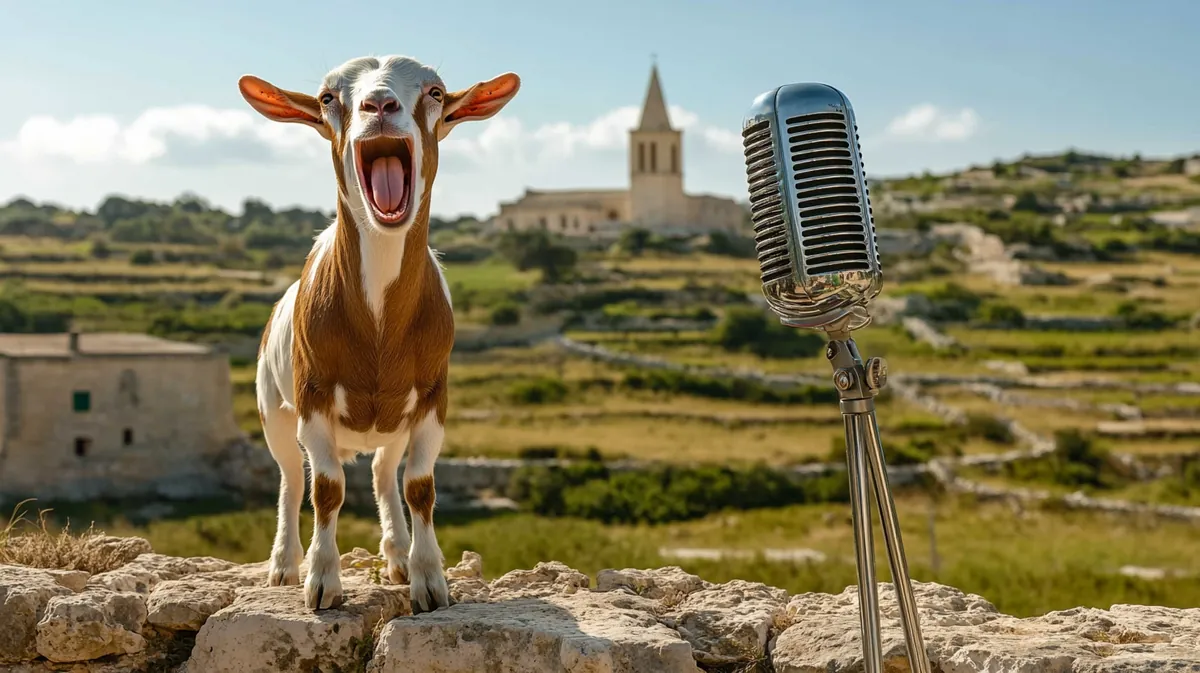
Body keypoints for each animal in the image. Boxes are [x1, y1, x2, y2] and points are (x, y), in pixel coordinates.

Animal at [239, 55, 520, 612]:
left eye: (435, 92)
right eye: (328, 97)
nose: (380, 104)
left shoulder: (433, 398)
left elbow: (420, 487)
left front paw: (428, 579)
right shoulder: (313, 398)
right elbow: (325, 488)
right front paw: (322, 582)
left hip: (393, 422)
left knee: (383, 473)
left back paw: (396, 555)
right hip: (271, 407)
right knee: (289, 477)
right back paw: (284, 564)